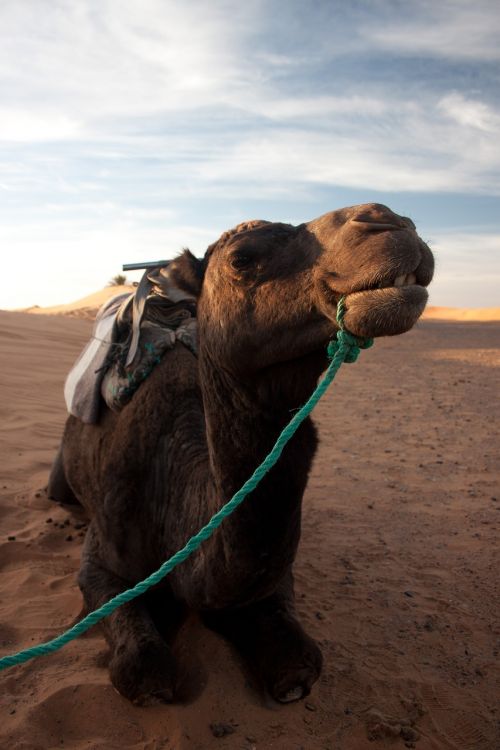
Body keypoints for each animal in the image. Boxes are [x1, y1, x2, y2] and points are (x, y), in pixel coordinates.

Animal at [49, 203, 434, 708]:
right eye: (242, 258)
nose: (389, 221)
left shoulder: (273, 582)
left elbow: (298, 664)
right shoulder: (101, 563)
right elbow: (144, 670)